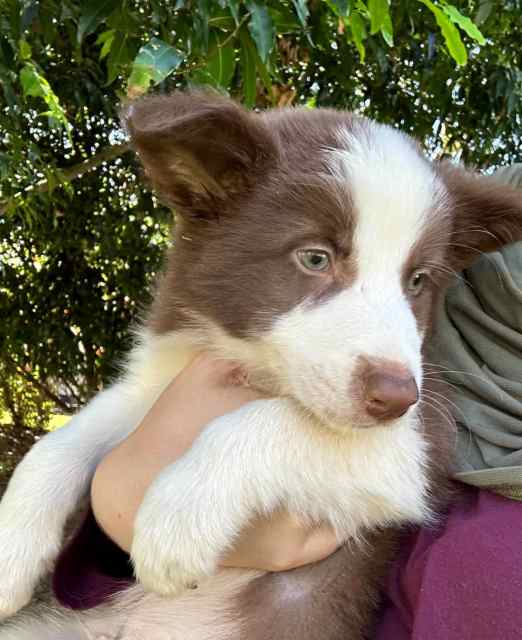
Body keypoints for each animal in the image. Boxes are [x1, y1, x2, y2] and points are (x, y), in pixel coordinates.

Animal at [1, 91, 520, 640]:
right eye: (315, 259)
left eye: (417, 281)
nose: (395, 398)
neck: (254, 365)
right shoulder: (157, 382)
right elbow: (61, 439)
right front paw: (10, 551)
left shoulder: (420, 440)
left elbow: (273, 421)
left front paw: (179, 514)